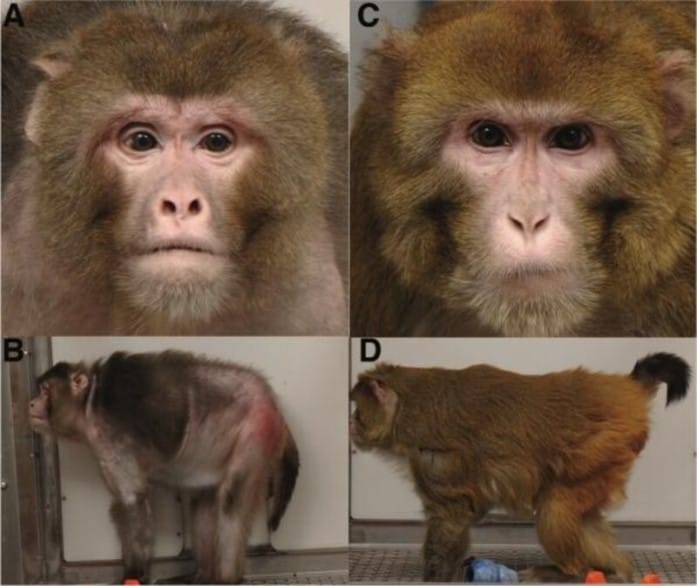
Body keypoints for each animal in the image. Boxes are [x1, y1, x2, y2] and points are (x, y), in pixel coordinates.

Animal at [29, 350, 300, 584]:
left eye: (44, 391)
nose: (31, 403)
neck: (90, 404)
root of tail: (274, 405)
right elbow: (124, 504)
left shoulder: (111, 437)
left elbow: (132, 502)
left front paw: (134, 573)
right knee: (203, 502)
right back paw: (201, 575)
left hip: (256, 428)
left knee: (230, 501)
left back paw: (226, 579)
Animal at [350, 353, 691, 582]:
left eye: (358, 412)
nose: (351, 425)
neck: (410, 409)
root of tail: (625, 389)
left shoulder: (436, 458)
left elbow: (451, 516)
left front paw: (436, 575)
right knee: (581, 514)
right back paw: (612, 571)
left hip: (603, 445)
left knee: (555, 506)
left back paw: (571, 573)